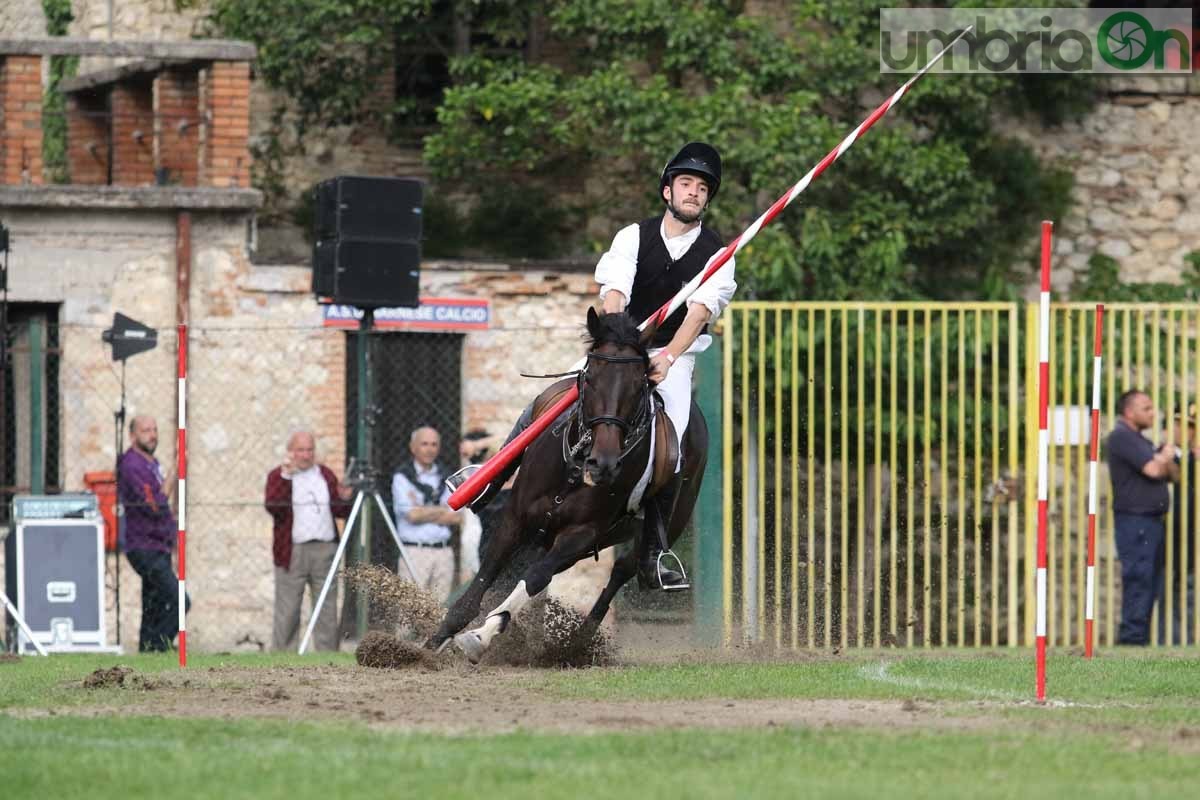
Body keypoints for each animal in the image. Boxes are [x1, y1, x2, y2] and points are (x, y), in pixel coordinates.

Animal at [427, 309, 705, 662]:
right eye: (590, 378)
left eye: (637, 385)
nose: (603, 464)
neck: (575, 465)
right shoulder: (514, 519)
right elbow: (486, 576)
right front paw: (435, 641)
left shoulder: (580, 535)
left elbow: (534, 578)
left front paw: (483, 634)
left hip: (660, 524)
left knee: (623, 569)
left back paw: (578, 643)